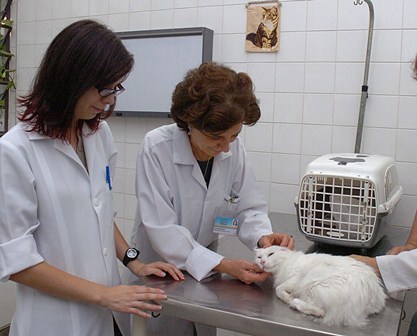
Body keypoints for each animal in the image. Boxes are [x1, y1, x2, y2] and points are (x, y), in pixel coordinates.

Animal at [254, 245, 386, 326]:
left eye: (271, 254)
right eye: (259, 257)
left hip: (311, 283)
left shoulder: (296, 278)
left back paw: (295, 303)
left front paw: (288, 297)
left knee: (320, 311)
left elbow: (278, 289)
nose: (262, 262)